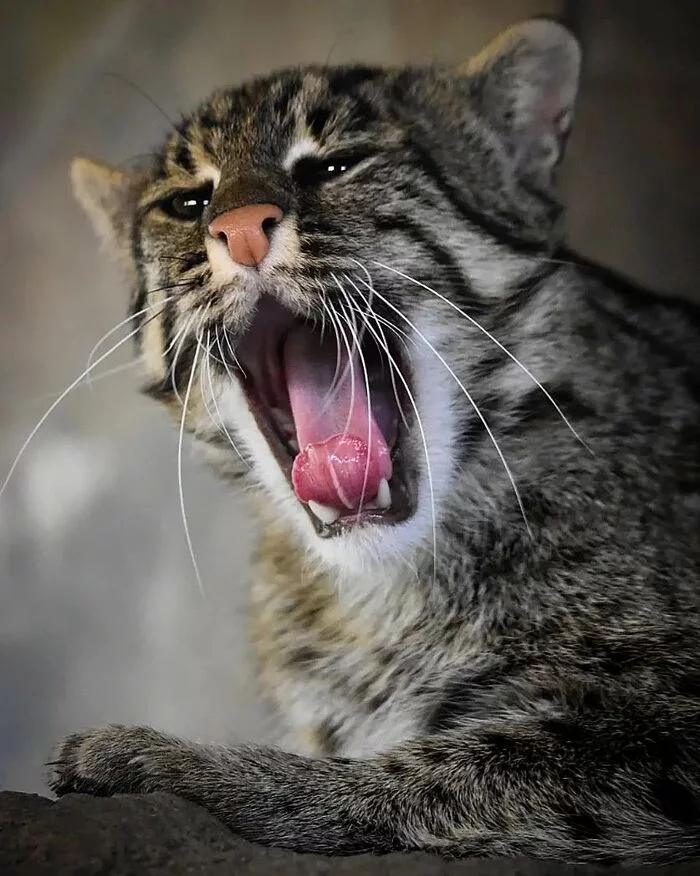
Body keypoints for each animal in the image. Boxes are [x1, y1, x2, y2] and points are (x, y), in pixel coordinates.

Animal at [47, 18, 700, 864]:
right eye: (187, 204)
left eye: (335, 165)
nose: (237, 228)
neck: (382, 590)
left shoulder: (660, 722)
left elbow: (448, 768)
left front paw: (175, 762)